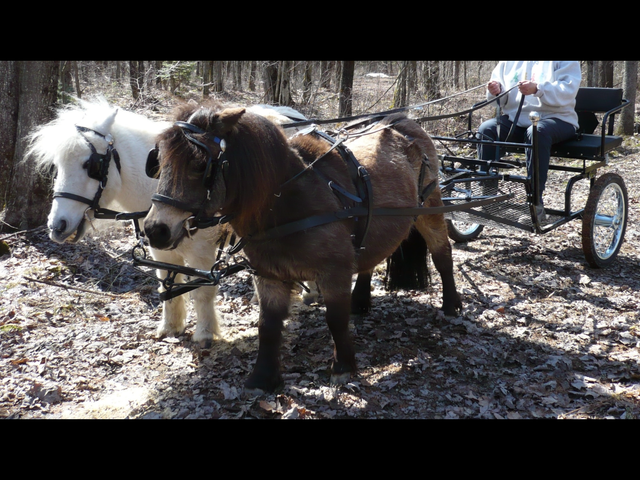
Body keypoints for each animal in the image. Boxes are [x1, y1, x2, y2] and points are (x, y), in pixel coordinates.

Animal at [25, 97, 308, 348]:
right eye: (57, 165)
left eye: (90, 164)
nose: (57, 226)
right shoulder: (159, 250)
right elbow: (166, 284)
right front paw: (171, 327)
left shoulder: (202, 254)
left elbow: (202, 291)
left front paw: (205, 334)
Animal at [143, 103, 462, 393]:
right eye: (159, 162)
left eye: (200, 165)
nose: (155, 230)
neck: (285, 202)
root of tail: (406, 122)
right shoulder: (269, 274)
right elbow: (268, 325)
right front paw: (263, 378)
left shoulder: (334, 272)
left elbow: (335, 319)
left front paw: (343, 367)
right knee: (370, 260)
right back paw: (360, 301)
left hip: (430, 208)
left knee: (442, 254)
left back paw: (451, 305)